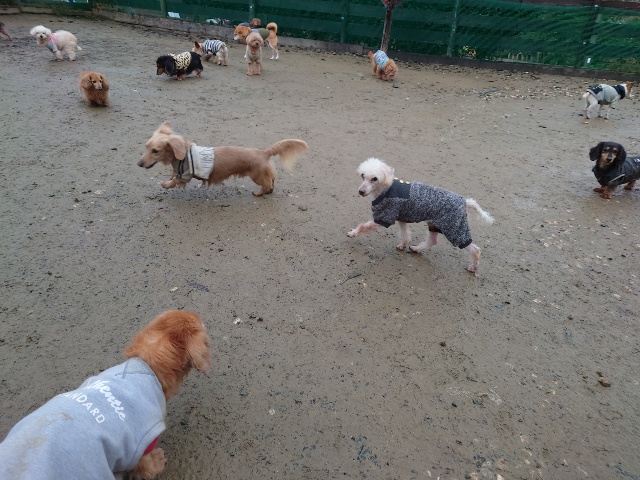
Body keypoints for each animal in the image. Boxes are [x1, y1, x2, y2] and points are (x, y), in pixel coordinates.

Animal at [138, 121, 309, 196]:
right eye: (146, 147)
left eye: (155, 151)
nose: (139, 164)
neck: (182, 154)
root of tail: (264, 152)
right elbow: (173, 175)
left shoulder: (184, 175)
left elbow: (174, 181)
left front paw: (166, 184)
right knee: (271, 181)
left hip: (257, 176)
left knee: (266, 184)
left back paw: (259, 193)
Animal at [347, 158, 495, 272]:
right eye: (363, 176)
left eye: (374, 179)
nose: (361, 191)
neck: (385, 189)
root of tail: (464, 201)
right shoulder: (402, 217)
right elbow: (405, 234)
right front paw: (403, 245)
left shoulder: (384, 217)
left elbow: (363, 226)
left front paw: (353, 233)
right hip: (435, 224)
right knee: (432, 241)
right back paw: (417, 249)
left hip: (454, 228)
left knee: (474, 249)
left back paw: (473, 267)